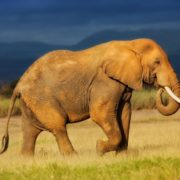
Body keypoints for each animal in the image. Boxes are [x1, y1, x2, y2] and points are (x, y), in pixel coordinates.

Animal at [0, 38, 179, 156]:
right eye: (157, 62)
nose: (161, 89)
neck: (130, 44)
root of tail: (18, 85)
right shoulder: (105, 81)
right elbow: (100, 113)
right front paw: (99, 149)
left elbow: (125, 113)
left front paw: (121, 157)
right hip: (42, 99)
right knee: (58, 126)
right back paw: (73, 158)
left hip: (31, 102)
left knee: (30, 131)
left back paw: (27, 160)